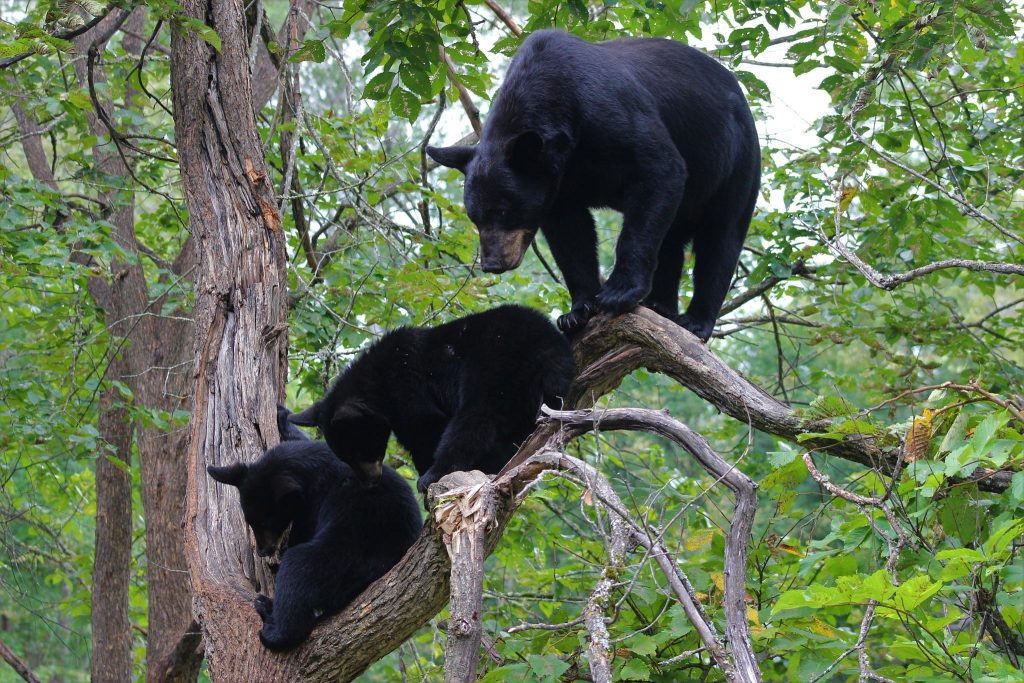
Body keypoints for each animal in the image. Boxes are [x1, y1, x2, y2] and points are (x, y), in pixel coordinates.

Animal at [207, 440, 422, 650]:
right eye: (250, 522)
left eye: (266, 523)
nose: (262, 551)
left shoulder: (316, 505)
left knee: (302, 566)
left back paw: (273, 624)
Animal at [289, 304, 575, 493]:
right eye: (344, 455)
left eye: (359, 449)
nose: (370, 481)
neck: (378, 381)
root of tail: (545, 344)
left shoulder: (407, 385)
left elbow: (427, 427)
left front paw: (427, 471)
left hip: (494, 368)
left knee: (474, 420)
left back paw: (439, 472)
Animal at [427, 29, 761, 342]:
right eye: (474, 217)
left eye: (503, 211)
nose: (492, 263)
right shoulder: (559, 183)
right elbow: (571, 236)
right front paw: (577, 312)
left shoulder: (610, 112)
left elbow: (660, 169)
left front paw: (618, 292)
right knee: (670, 241)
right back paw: (660, 306)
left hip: (736, 163)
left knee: (721, 239)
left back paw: (695, 321)